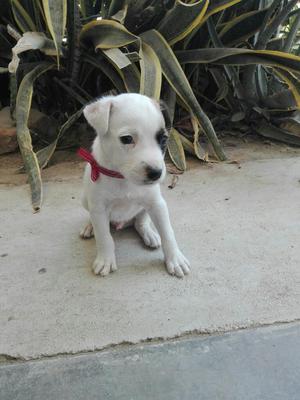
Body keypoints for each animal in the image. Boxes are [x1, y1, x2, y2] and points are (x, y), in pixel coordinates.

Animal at [79, 93, 190, 278]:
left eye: (163, 139)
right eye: (127, 139)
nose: (156, 173)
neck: (123, 178)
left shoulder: (157, 204)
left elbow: (168, 233)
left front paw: (175, 259)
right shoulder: (99, 208)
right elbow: (104, 237)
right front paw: (105, 260)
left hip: (145, 208)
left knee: (140, 221)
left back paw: (149, 234)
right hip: (85, 201)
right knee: (93, 218)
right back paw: (89, 227)